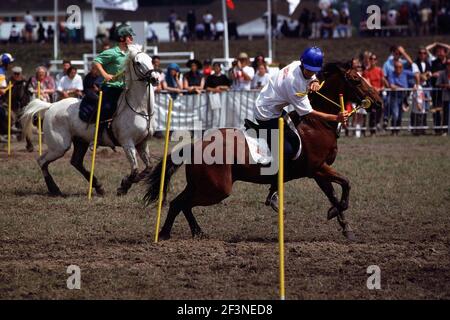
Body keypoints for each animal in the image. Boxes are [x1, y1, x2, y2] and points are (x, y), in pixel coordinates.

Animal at [144, 62, 384, 241]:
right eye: (356, 80)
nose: (379, 102)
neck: (317, 124)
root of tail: (194, 146)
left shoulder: (319, 172)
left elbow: (334, 194)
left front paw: (345, 227)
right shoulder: (317, 168)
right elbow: (346, 184)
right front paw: (336, 212)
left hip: (200, 185)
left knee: (178, 203)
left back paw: (184, 232)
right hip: (216, 189)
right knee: (182, 203)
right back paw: (168, 233)